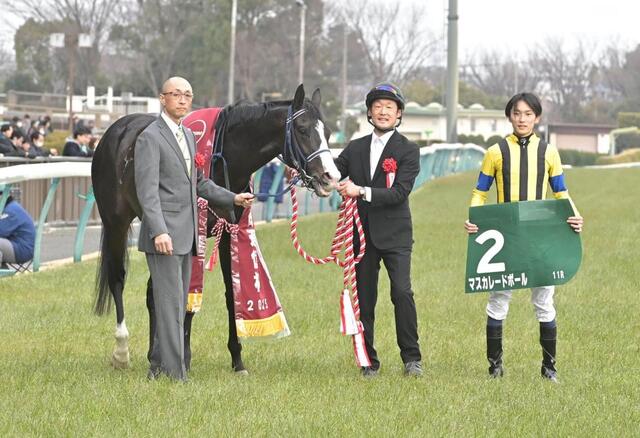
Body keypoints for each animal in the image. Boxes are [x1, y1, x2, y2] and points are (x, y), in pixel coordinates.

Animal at [91, 85, 341, 374]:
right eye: (302, 129)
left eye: (328, 133)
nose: (331, 177)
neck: (225, 158)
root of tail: (116, 130)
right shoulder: (193, 234)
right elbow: (187, 296)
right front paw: (184, 358)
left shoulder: (230, 232)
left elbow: (232, 293)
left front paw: (237, 359)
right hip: (116, 222)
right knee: (118, 279)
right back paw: (123, 351)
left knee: (154, 290)